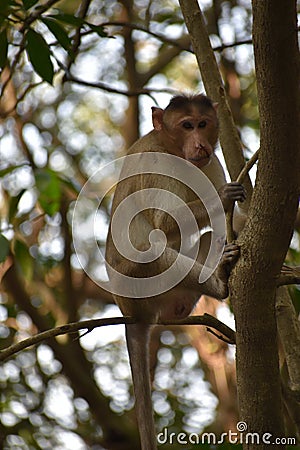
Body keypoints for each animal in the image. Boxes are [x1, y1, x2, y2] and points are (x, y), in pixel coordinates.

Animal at [104, 94, 245, 450]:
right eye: (186, 125)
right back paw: (218, 283)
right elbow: (164, 223)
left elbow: (234, 222)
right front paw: (222, 197)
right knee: (151, 251)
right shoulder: (159, 162)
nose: (200, 144)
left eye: (203, 124)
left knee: (209, 239)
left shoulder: (211, 163)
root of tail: (132, 313)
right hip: (135, 283)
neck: (175, 149)